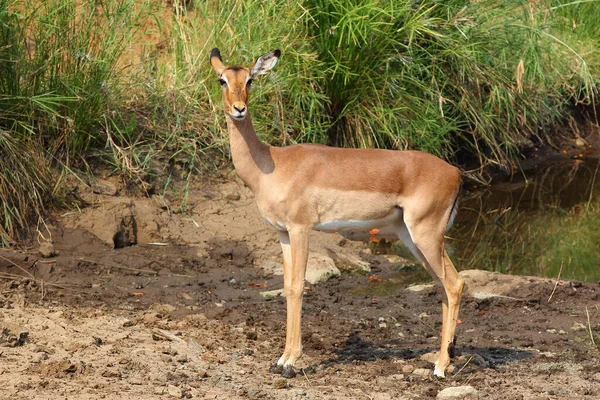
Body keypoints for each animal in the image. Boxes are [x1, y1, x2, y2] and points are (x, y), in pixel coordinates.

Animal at [209, 47, 466, 378]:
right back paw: (440, 359)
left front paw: (291, 362)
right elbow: (286, 287)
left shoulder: (301, 228)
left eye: (250, 80)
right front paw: (280, 360)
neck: (271, 165)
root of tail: (456, 172)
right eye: (222, 79)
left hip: (427, 235)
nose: (239, 109)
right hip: (413, 238)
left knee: (455, 284)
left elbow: (297, 286)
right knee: (443, 286)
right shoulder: (283, 233)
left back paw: (441, 368)